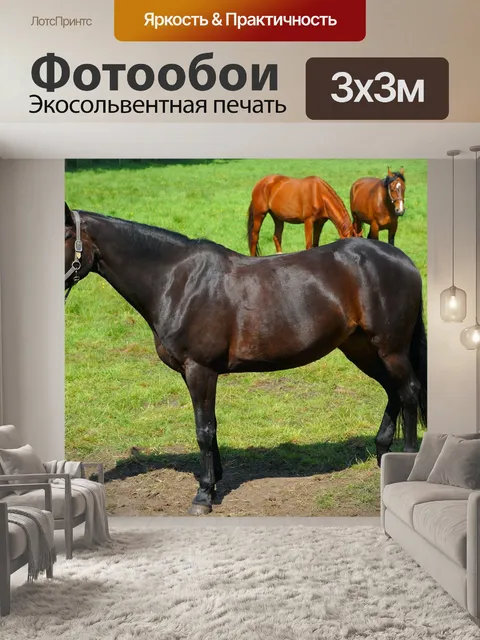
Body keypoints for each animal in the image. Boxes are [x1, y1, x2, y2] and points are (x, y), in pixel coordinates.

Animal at [65, 202, 427, 516]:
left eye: (64, 237)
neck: (177, 280)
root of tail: (403, 260)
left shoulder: (200, 369)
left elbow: (203, 429)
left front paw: (203, 495)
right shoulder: (195, 373)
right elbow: (210, 426)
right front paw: (214, 482)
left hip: (390, 348)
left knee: (408, 391)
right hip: (362, 348)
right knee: (393, 391)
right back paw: (383, 454)